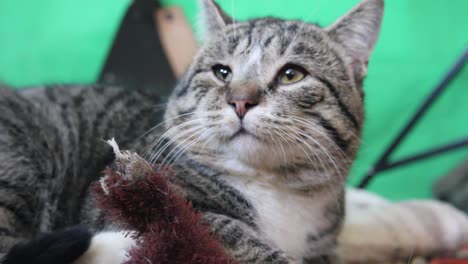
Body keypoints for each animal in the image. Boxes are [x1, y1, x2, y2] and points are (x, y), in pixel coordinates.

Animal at [0, 0, 384, 262]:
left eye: (292, 74)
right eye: (222, 72)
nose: (240, 101)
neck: (277, 190)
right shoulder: (134, 203)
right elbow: (223, 231)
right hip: (22, 166)